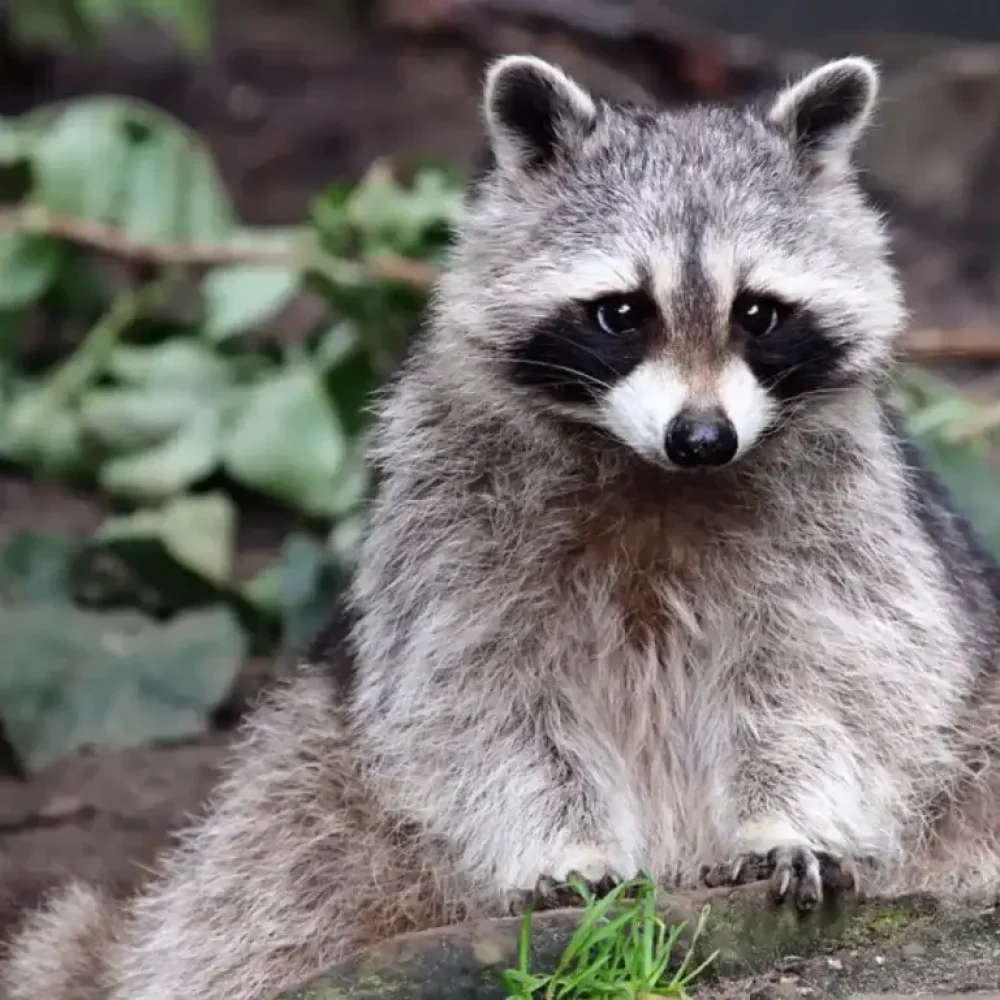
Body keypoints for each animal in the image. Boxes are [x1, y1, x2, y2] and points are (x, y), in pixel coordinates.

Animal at [7, 52, 1000, 1000]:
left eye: (758, 312)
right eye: (621, 312)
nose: (703, 438)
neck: (656, 476)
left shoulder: (848, 518)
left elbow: (841, 677)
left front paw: (790, 818)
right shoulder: (451, 514)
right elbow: (480, 699)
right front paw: (566, 847)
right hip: (315, 771)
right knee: (276, 868)